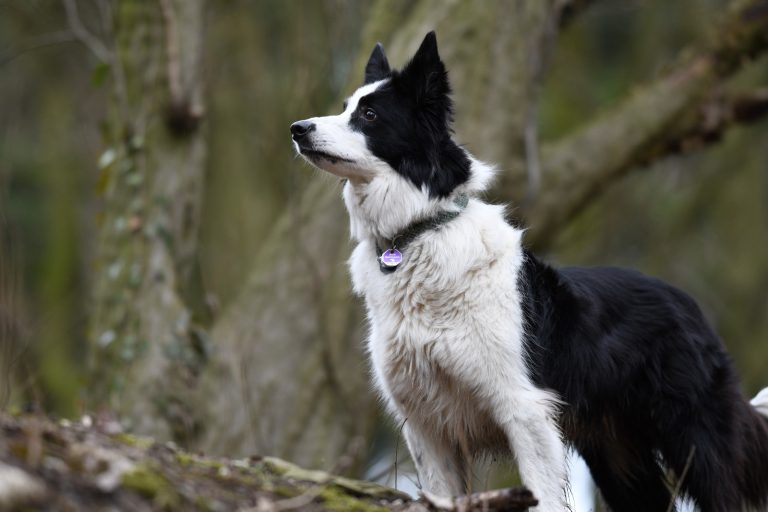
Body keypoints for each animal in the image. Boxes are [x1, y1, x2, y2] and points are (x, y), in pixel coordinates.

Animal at [292, 32, 768, 512]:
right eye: (346, 107)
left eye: (369, 115)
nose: (297, 129)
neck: (414, 233)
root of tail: (687, 303)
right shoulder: (426, 422)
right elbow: (442, 493)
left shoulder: (523, 408)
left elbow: (542, 494)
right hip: (617, 453)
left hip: (695, 439)